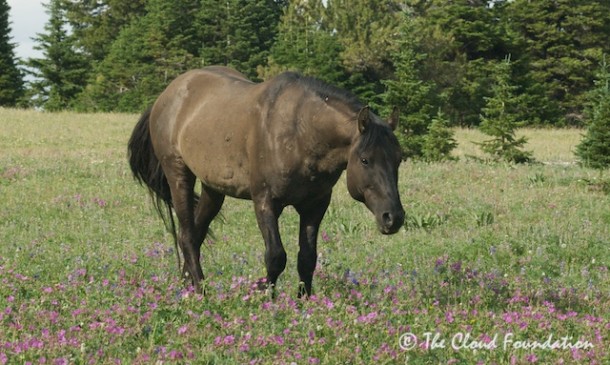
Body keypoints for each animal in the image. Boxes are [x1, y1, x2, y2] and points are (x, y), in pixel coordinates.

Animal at [127, 67, 404, 298]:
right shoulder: (265, 201)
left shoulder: (315, 205)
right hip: (178, 174)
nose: (394, 217)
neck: (300, 131)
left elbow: (307, 258)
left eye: (399, 159)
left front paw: (303, 303)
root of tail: (167, 94)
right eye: (365, 160)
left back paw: (187, 285)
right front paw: (262, 296)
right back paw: (201, 291)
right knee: (186, 234)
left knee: (196, 234)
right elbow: (275, 256)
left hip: (213, 188)